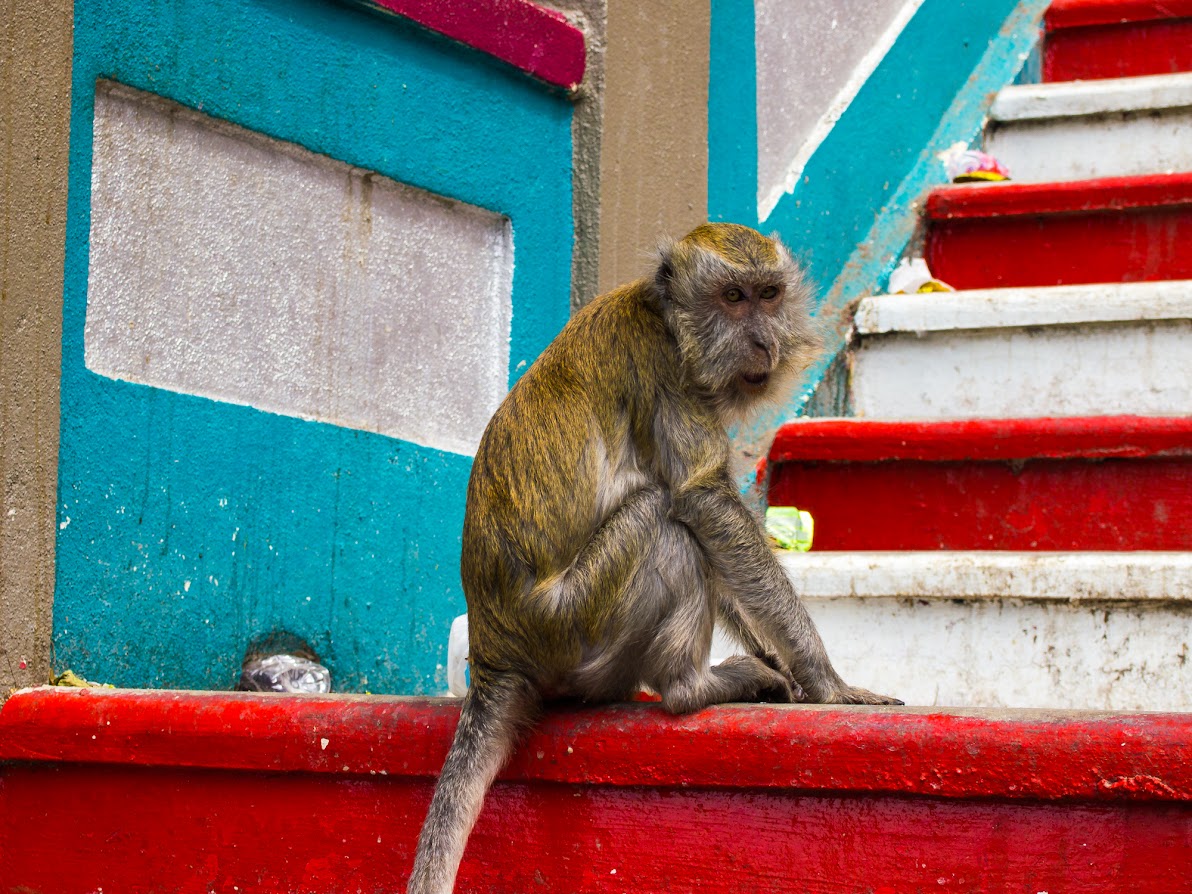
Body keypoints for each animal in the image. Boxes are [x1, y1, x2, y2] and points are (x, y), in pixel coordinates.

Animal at [405, 224, 896, 894]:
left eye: (769, 295)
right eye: (733, 298)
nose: (764, 340)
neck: (667, 318)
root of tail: (491, 656)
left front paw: (790, 666)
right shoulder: (667, 373)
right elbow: (703, 502)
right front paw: (826, 681)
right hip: (569, 626)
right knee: (665, 522)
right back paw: (695, 687)